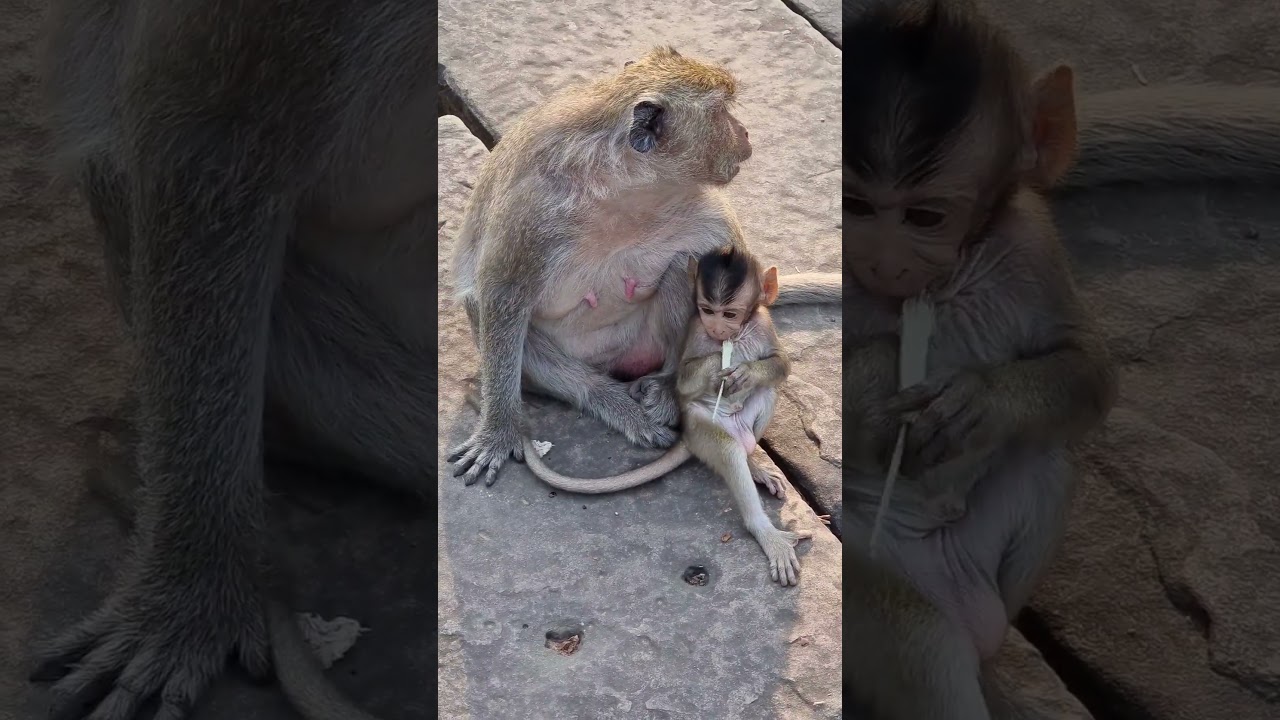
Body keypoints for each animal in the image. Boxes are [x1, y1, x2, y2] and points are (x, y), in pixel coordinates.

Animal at [446, 46, 844, 488]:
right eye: (721, 112)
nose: (744, 132)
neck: (619, 184)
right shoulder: (530, 209)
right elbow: (502, 296)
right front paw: (497, 431)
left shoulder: (701, 205)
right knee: (487, 312)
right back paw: (612, 401)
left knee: (685, 267)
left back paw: (667, 389)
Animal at [514, 245, 809, 585]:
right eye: (707, 310)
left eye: (730, 314)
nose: (718, 329)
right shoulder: (696, 331)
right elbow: (683, 379)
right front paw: (716, 363)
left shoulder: (763, 324)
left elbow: (781, 364)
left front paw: (747, 370)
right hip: (702, 429)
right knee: (727, 450)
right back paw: (765, 529)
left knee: (767, 392)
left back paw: (753, 465)